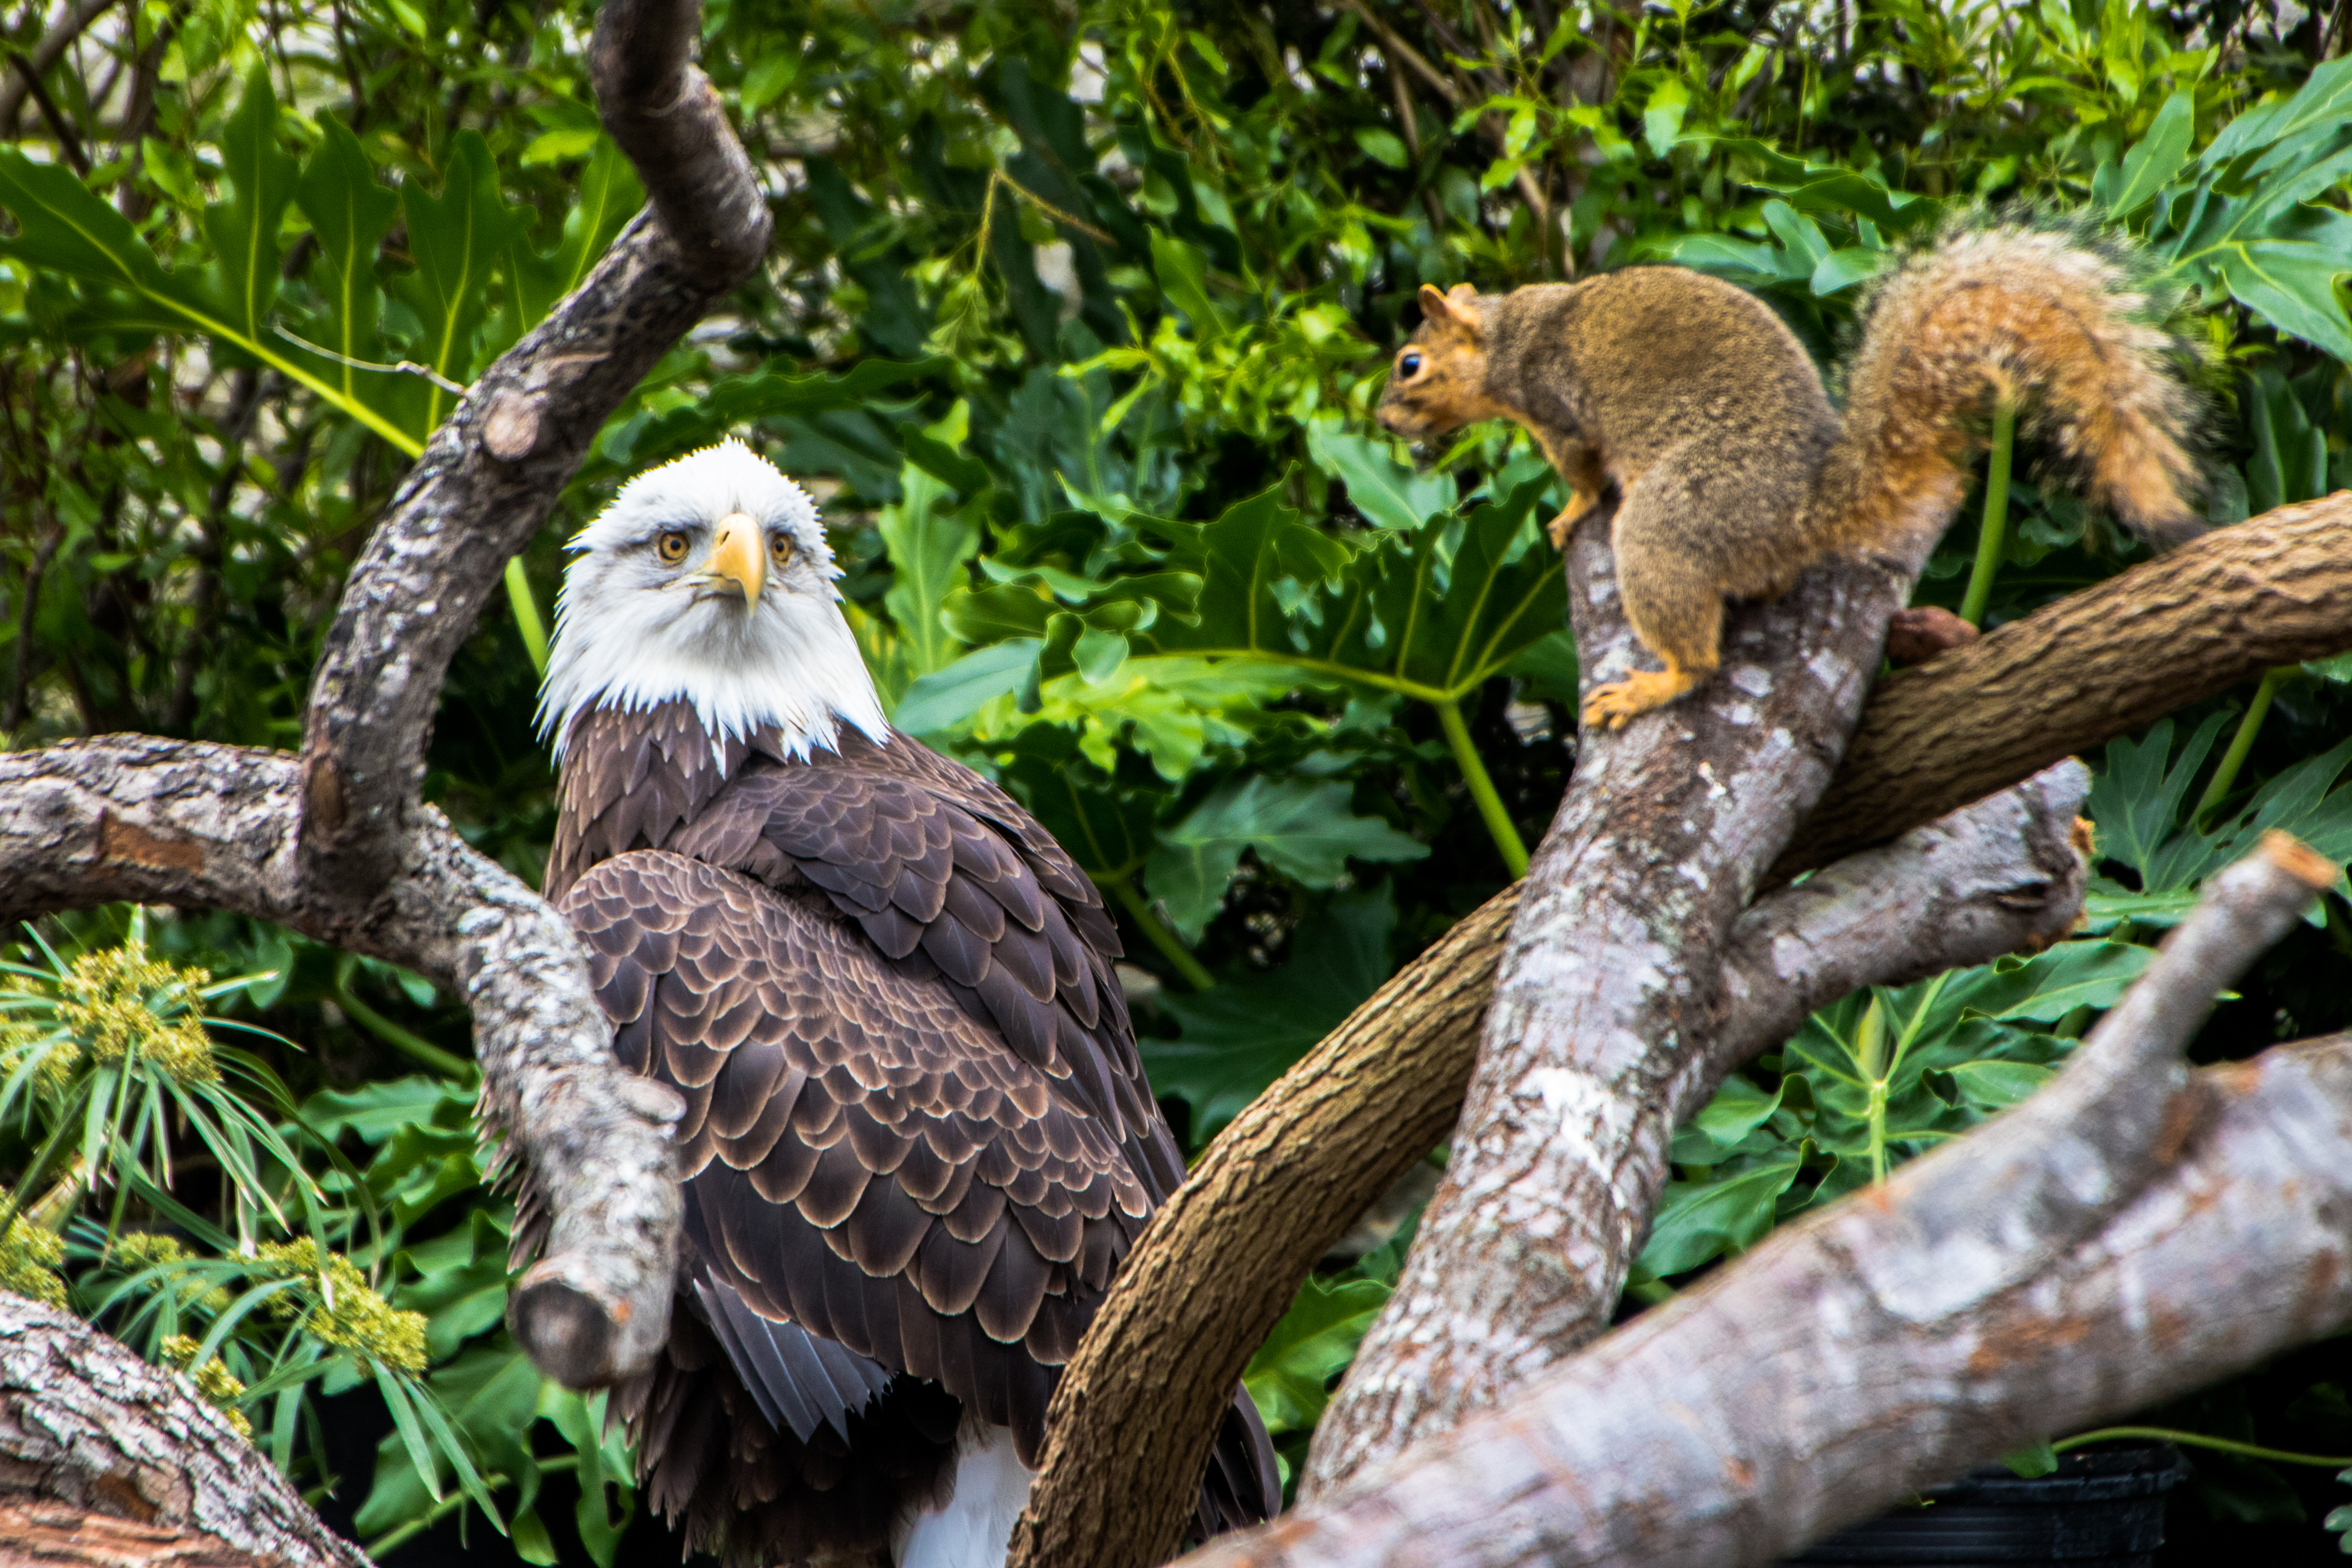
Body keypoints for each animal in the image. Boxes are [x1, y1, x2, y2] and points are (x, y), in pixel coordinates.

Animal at [1374, 230, 2201, 733]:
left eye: (1409, 365)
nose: (1381, 419)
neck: (1511, 337)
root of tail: (1804, 512)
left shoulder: (1559, 413)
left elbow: (1580, 474)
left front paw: (1566, 512)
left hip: (1673, 517)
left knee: (1697, 656)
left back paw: (1651, 685)